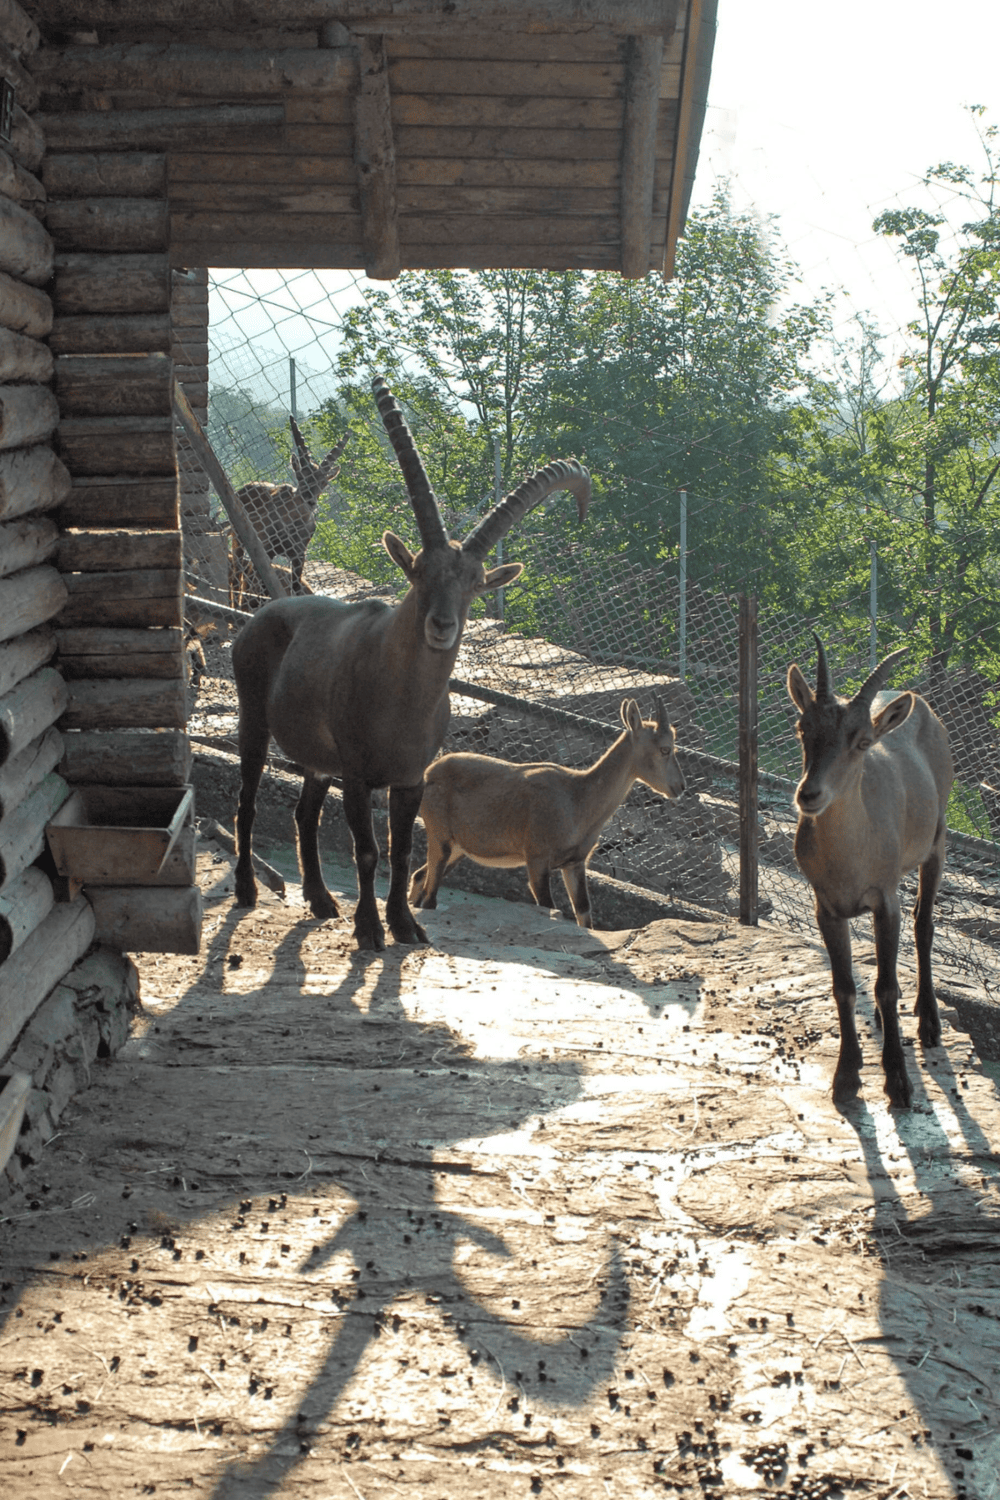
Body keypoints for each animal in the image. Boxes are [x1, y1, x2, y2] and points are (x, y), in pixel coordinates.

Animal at [230, 417, 350, 607]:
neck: (293, 522)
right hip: (239, 537)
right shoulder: (268, 548)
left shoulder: (299, 554)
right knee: (238, 572)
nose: (310, 501)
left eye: (324, 482)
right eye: (301, 476)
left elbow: (296, 588)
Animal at [409, 698, 685, 926]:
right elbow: (549, 908)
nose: (680, 787)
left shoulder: (574, 863)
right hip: (440, 835)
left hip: (459, 847)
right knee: (430, 894)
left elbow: (583, 912)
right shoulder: (537, 858)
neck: (578, 800)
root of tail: (429, 773)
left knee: (420, 876)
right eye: (665, 749)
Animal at [786, 636, 953, 1108]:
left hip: (937, 841)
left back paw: (928, 1021)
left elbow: (886, 984)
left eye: (861, 742)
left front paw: (898, 1081)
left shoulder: (884, 899)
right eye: (803, 729)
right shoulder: (826, 906)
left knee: (924, 923)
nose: (809, 794)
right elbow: (844, 986)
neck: (848, 860)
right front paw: (846, 1075)